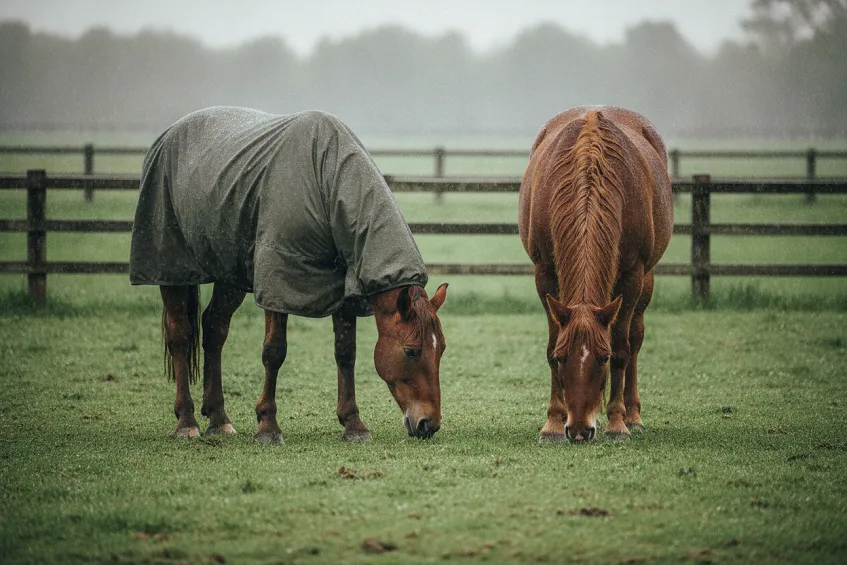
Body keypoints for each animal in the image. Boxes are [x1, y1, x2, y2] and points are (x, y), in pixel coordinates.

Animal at [130, 107, 448, 443]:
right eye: (411, 351)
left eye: (441, 349)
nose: (429, 424)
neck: (325, 180)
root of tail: (170, 135)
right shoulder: (278, 282)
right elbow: (274, 352)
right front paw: (268, 426)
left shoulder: (344, 290)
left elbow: (345, 352)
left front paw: (353, 424)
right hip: (171, 268)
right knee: (180, 335)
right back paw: (186, 422)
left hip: (231, 277)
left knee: (214, 329)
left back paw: (219, 419)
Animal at [518, 106, 673, 442]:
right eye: (563, 358)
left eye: (602, 358)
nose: (578, 430)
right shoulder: (544, 273)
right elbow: (550, 343)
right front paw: (552, 423)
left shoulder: (631, 276)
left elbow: (622, 350)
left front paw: (617, 423)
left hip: (646, 281)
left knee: (635, 338)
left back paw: (633, 416)